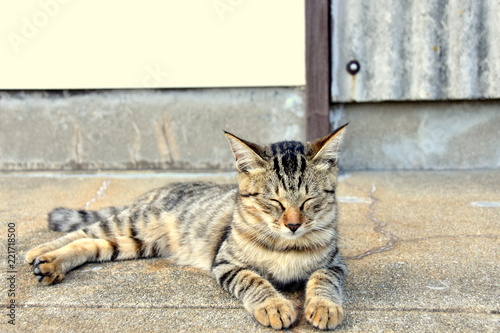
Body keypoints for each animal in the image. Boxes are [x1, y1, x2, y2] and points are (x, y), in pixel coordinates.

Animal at [26, 124, 348, 330]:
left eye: (309, 199)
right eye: (274, 201)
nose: (293, 225)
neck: (286, 245)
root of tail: (155, 191)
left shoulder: (334, 263)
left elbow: (323, 279)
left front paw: (325, 307)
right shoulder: (226, 262)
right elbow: (253, 280)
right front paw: (274, 306)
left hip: (136, 243)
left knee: (90, 245)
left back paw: (50, 265)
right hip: (135, 222)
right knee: (83, 231)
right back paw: (39, 252)